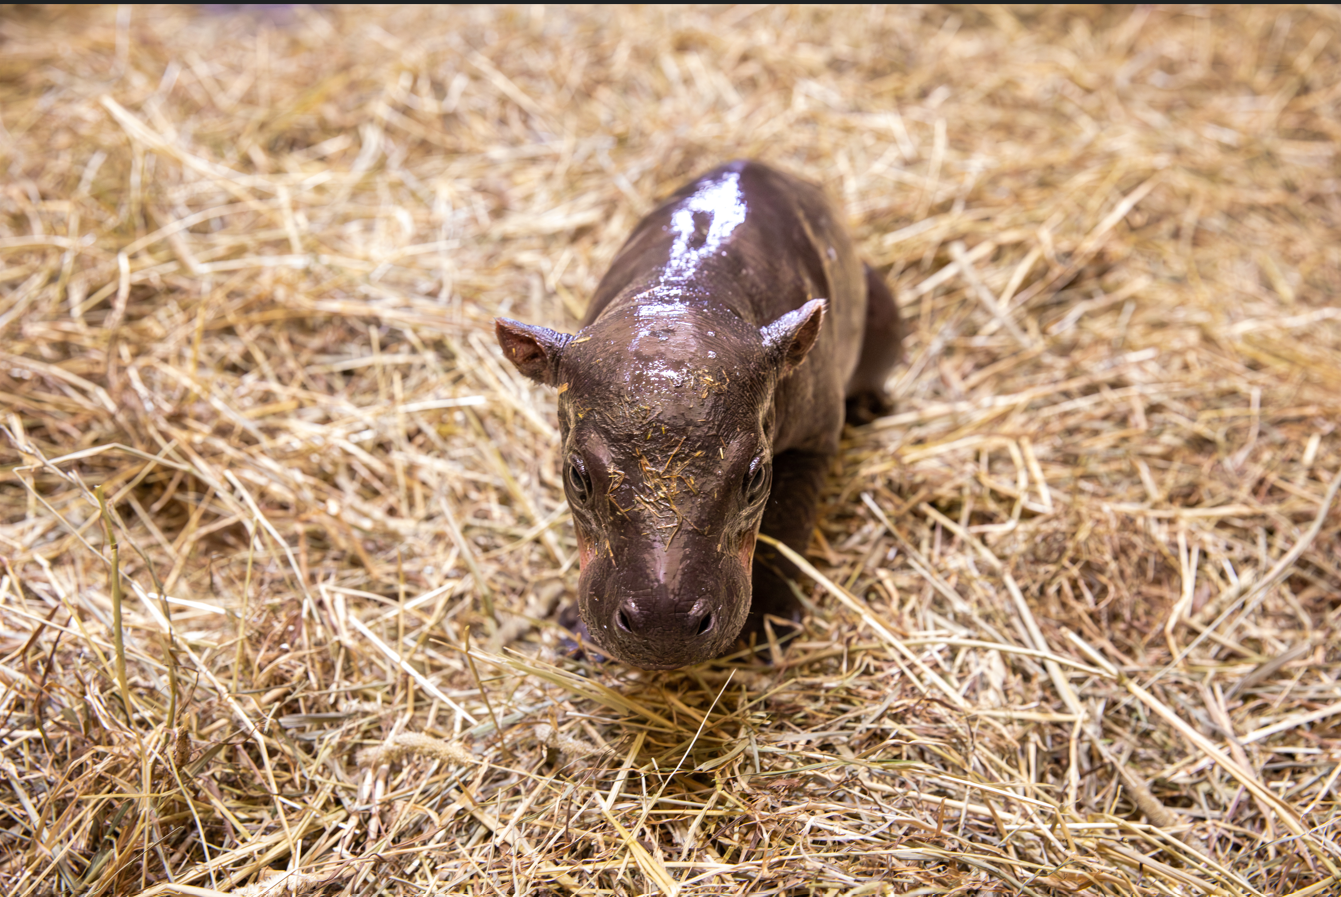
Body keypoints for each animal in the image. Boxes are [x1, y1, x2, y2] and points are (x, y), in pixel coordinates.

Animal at [495, 160, 902, 669]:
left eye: (756, 478)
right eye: (576, 477)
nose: (663, 628)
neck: (681, 297)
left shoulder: (816, 437)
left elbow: (789, 524)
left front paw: (768, 630)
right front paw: (576, 635)